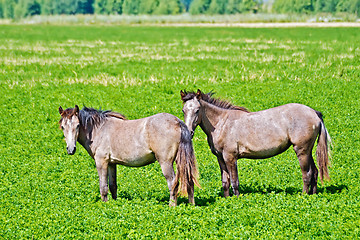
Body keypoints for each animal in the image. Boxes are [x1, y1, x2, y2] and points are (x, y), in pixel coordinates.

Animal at [58, 105, 200, 206]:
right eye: (62, 127)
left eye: (77, 125)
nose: (71, 149)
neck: (98, 129)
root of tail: (177, 121)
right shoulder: (112, 163)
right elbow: (113, 186)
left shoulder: (101, 162)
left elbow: (103, 187)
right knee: (189, 181)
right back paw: (191, 205)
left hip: (165, 162)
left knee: (173, 184)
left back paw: (172, 206)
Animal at [181, 89, 330, 196]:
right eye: (183, 110)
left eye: (197, 110)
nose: (189, 132)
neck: (221, 123)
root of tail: (314, 113)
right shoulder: (221, 158)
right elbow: (225, 181)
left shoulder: (230, 157)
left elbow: (234, 181)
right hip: (308, 151)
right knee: (315, 172)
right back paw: (313, 194)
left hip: (301, 151)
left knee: (307, 174)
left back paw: (304, 195)